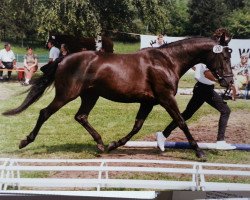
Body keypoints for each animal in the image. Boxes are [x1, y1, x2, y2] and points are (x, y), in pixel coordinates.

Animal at [1, 33, 233, 158]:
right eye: (224, 56)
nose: (229, 81)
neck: (167, 61)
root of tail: (64, 59)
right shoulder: (166, 98)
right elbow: (182, 121)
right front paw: (199, 152)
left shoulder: (148, 102)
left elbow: (137, 126)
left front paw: (114, 144)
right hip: (67, 94)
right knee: (44, 112)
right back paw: (25, 141)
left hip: (90, 96)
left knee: (81, 116)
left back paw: (101, 144)